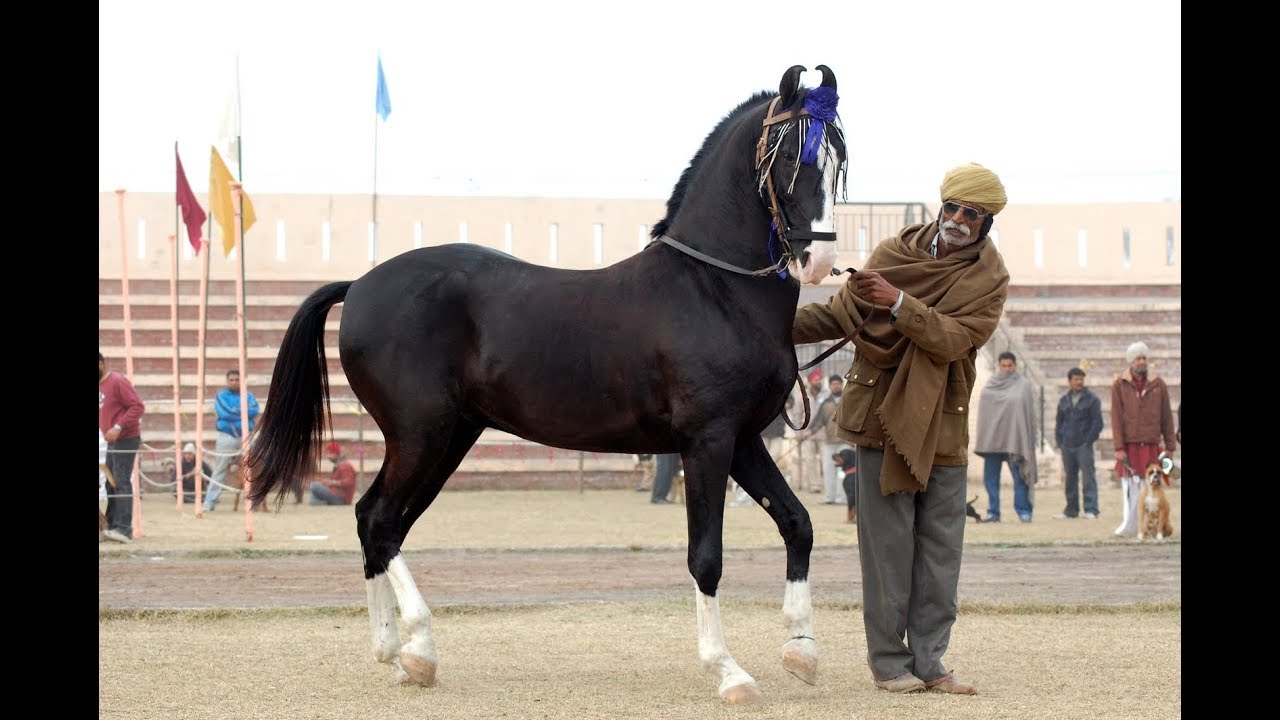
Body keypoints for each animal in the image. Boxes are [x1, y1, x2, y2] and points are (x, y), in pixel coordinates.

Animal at [249, 64, 849, 702]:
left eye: (836, 160)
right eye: (789, 157)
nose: (814, 261)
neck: (714, 289)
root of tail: (359, 284)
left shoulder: (743, 441)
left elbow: (798, 524)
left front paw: (802, 650)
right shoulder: (707, 442)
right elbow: (706, 557)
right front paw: (729, 671)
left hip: (446, 440)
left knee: (375, 521)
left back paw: (394, 650)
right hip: (421, 436)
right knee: (382, 522)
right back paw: (420, 648)